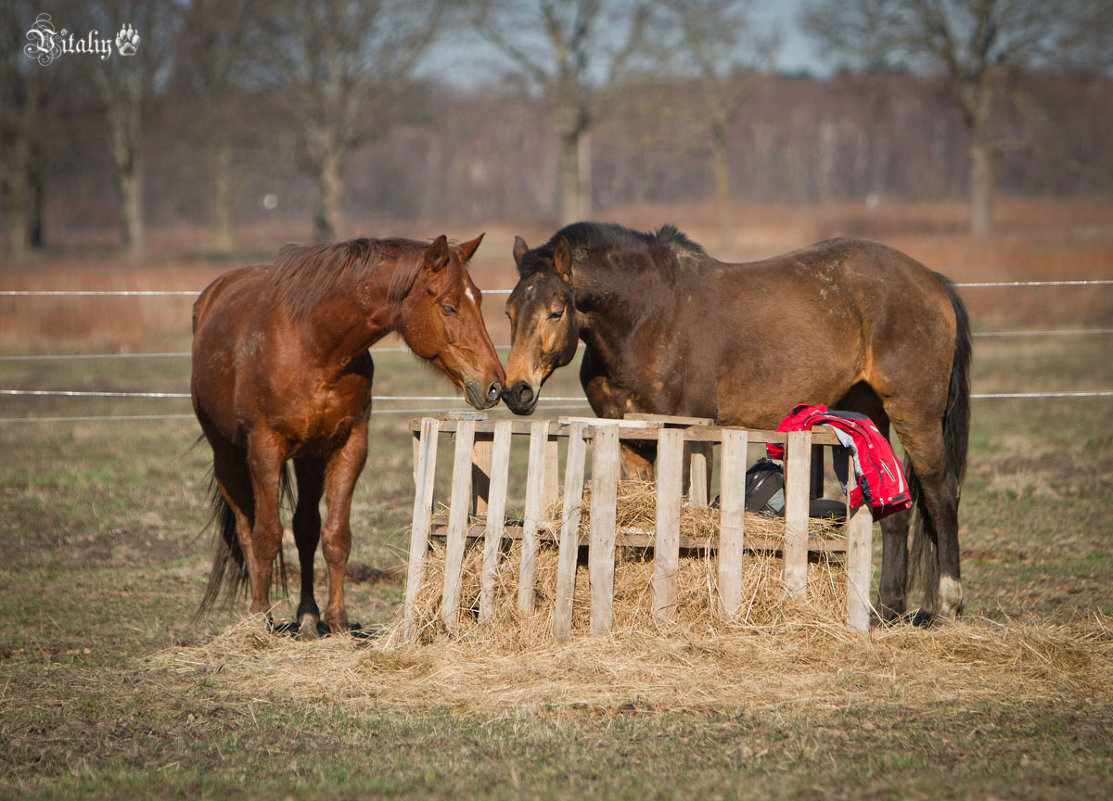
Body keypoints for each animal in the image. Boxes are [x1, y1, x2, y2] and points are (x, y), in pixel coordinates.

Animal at [192, 233, 505, 636]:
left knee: (306, 529)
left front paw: (337, 620)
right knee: (247, 529)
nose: (495, 384)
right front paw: (261, 617)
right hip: (228, 457)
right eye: (449, 307)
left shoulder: (349, 447)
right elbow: (266, 535)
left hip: (309, 459)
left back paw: (308, 616)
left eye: (478, 299)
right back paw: (257, 614)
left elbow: (335, 536)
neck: (314, 345)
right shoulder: (264, 450)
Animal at [500, 222, 970, 623]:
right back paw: (887, 609)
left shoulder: (687, 433)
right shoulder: (629, 439)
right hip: (869, 413)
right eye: (508, 312)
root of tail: (931, 279)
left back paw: (947, 605)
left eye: (555, 312)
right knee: (895, 510)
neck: (647, 317)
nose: (515, 390)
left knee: (940, 493)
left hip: (915, 411)